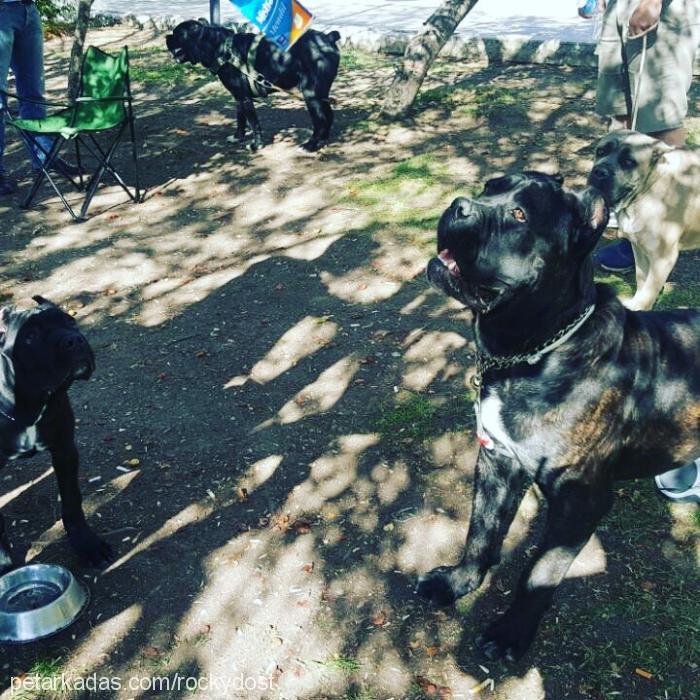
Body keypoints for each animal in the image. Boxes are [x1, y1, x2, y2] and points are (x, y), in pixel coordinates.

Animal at [0, 296, 111, 576]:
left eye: (70, 321)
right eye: (30, 336)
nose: (73, 340)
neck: (29, 404)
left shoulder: (65, 449)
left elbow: (72, 501)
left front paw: (87, 545)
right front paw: (5, 567)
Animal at [164, 20, 340, 152]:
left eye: (177, 34)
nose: (166, 37)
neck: (216, 46)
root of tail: (328, 37)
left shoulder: (245, 98)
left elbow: (253, 123)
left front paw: (257, 145)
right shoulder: (238, 98)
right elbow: (240, 119)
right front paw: (238, 137)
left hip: (311, 94)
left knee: (320, 121)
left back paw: (311, 145)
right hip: (320, 95)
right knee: (328, 116)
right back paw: (323, 141)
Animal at [418, 171, 696, 660]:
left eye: (520, 215)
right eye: (490, 187)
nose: (458, 205)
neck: (531, 353)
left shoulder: (579, 502)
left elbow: (539, 574)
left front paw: (510, 634)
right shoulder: (497, 462)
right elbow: (480, 533)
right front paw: (458, 583)